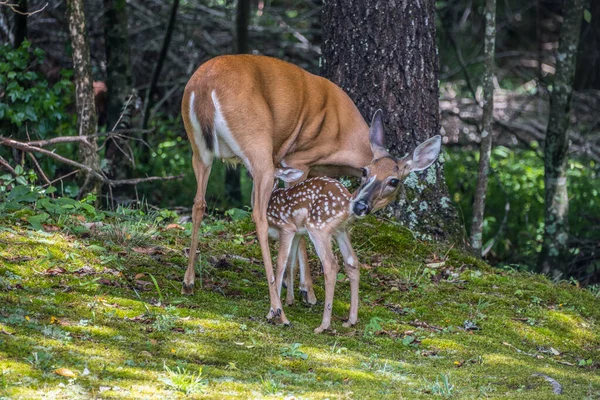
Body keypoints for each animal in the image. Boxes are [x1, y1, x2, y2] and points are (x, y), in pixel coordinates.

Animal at [182, 55, 440, 324]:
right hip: (258, 145)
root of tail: (204, 86)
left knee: (199, 203)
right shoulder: (297, 160)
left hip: (199, 150)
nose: (360, 205)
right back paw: (277, 309)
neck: (343, 139)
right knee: (258, 215)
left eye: (393, 181)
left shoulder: (313, 170)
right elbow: (299, 227)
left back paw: (188, 282)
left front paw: (295, 287)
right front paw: (306, 291)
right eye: (366, 171)